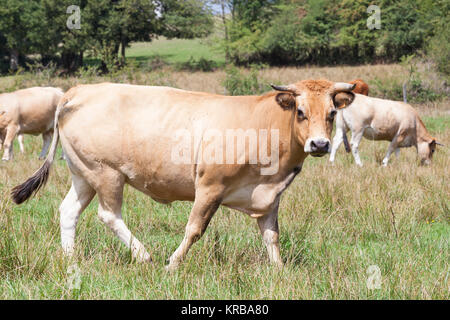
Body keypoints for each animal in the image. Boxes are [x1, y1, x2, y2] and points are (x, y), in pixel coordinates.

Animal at [10, 80, 356, 270]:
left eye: (332, 113)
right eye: (300, 112)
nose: (320, 144)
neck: (264, 122)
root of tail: (79, 91)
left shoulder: (270, 196)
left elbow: (271, 235)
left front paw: (280, 270)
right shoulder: (210, 187)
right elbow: (194, 229)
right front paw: (173, 264)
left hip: (83, 174)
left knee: (69, 211)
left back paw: (70, 259)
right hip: (106, 173)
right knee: (108, 215)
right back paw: (143, 255)